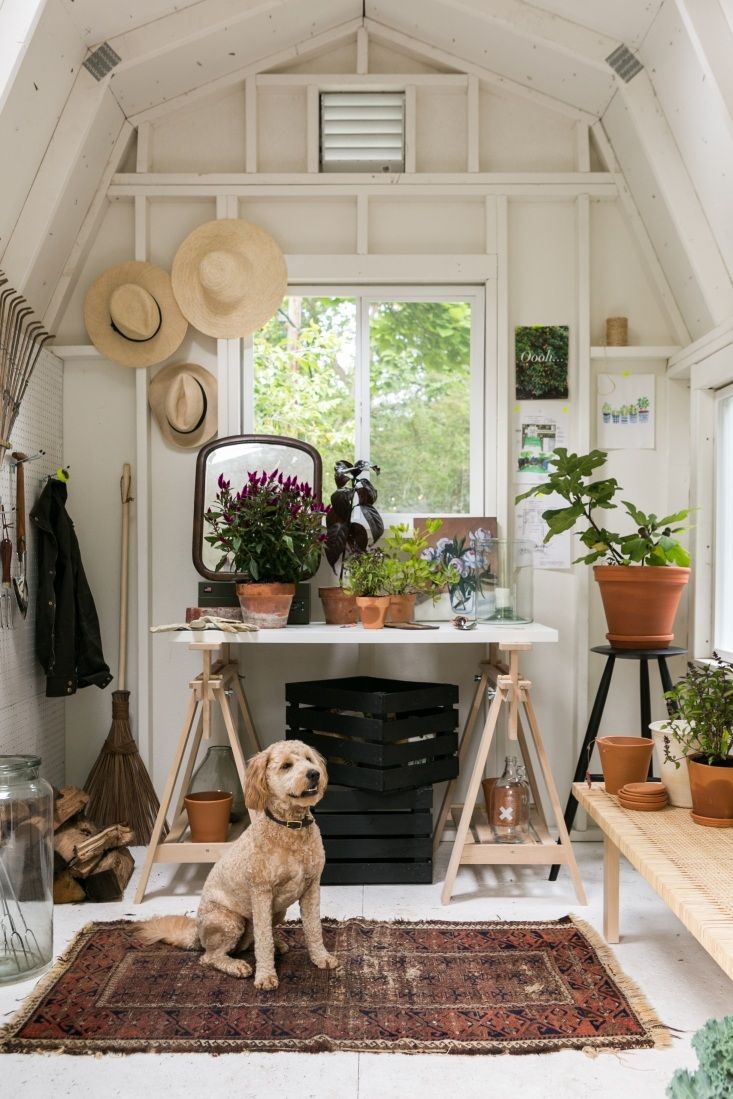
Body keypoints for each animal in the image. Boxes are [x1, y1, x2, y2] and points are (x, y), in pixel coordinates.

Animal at [138, 738, 340, 989]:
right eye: (286, 766)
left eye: (309, 759)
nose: (314, 773)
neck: (289, 827)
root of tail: (197, 933)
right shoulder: (261, 892)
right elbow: (263, 939)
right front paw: (265, 976)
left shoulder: (311, 887)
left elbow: (313, 928)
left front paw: (321, 958)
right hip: (229, 920)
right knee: (211, 957)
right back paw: (236, 966)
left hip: (277, 911)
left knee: (250, 941)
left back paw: (277, 945)